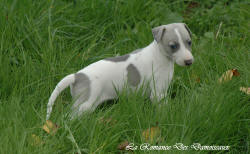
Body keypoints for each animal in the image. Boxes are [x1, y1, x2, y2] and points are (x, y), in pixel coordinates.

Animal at [46, 22, 194, 119]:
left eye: (189, 42)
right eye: (173, 46)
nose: (189, 62)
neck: (159, 54)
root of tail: (77, 76)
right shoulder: (159, 92)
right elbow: (163, 108)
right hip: (85, 104)